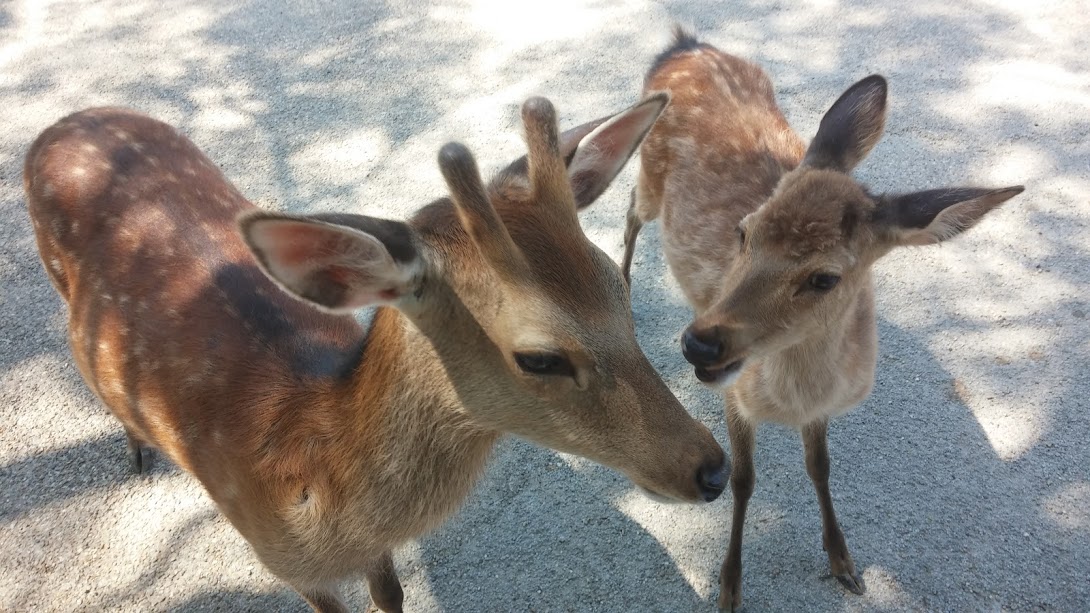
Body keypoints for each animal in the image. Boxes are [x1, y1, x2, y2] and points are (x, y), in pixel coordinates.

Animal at [23, 91, 732, 610]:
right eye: (539, 358)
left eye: (619, 282)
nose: (713, 469)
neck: (307, 480)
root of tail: (58, 124)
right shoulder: (278, 558)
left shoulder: (374, 552)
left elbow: (390, 595)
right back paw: (138, 448)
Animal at [623, 29, 1020, 610]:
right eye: (744, 231)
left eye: (825, 279)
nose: (699, 344)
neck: (789, 400)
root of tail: (684, 45)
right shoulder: (735, 395)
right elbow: (743, 479)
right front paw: (729, 586)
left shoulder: (820, 408)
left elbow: (820, 466)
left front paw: (843, 563)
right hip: (650, 173)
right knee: (631, 204)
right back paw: (621, 282)